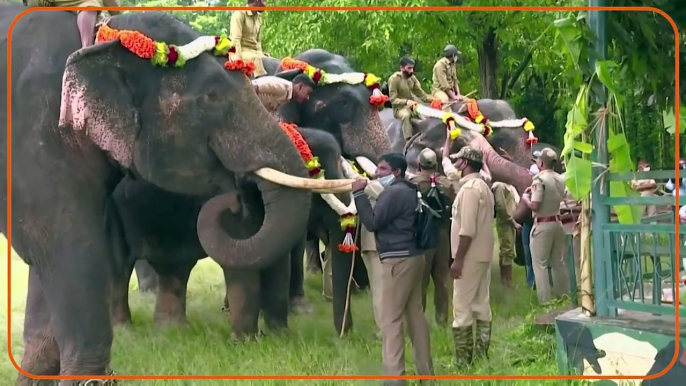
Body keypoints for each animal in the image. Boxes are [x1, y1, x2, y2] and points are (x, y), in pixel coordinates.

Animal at [0, 8, 362, 380]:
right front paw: (248, 343)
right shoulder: (36, 138)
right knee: (119, 263)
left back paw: (172, 331)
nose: (344, 338)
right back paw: (131, 330)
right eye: (211, 98)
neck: (104, 33)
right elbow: (65, 248)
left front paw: (276, 338)